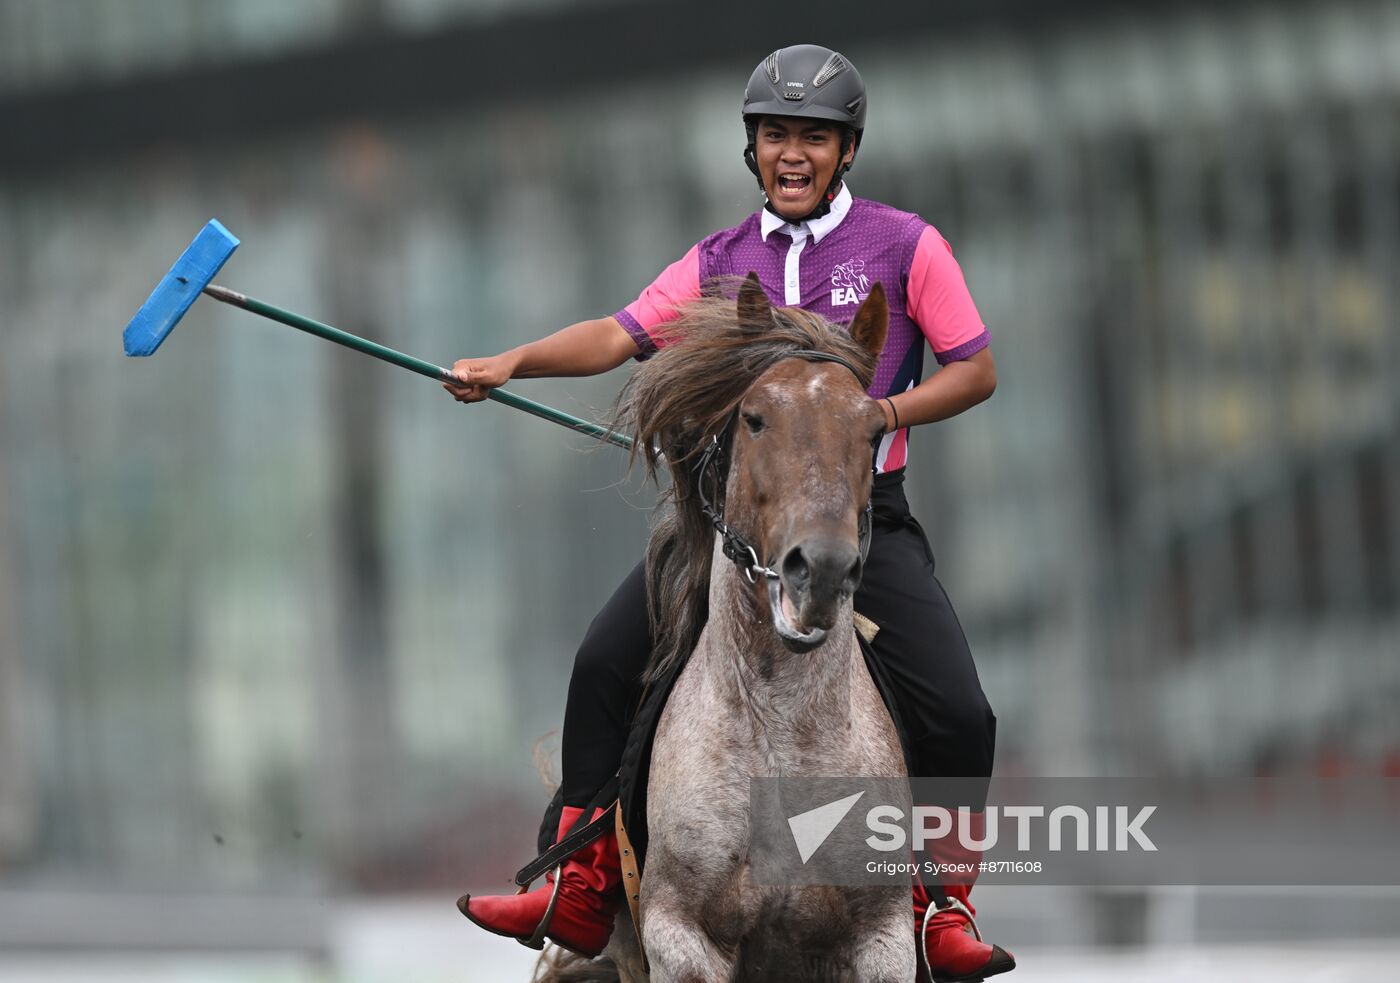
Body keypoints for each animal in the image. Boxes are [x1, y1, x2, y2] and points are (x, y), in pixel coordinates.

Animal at [540, 273, 912, 980]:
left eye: (875, 428)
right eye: (754, 416)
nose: (821, 571)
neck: (779, 733)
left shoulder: (883, 937)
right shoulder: (681, 936)